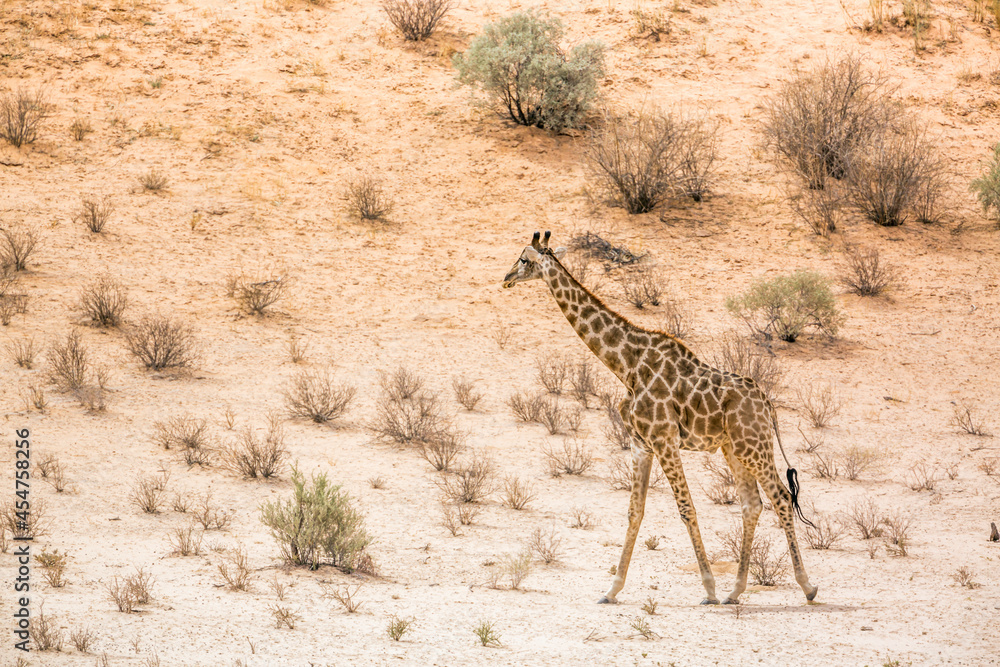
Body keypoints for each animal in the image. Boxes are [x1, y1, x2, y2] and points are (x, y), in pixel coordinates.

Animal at [502, 231, 818, 605]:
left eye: (524, 259)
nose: (506, 278)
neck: (627, 364)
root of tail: (767, 403)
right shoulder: (642, 444)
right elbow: (634, 512)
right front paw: (611, 589)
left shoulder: (664, 439)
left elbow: (686, 508)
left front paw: (708, 589)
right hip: (734, 449)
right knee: (752, 505)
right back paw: (736, 591)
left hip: (752, 445)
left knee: (781, 497)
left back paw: (806, 586)